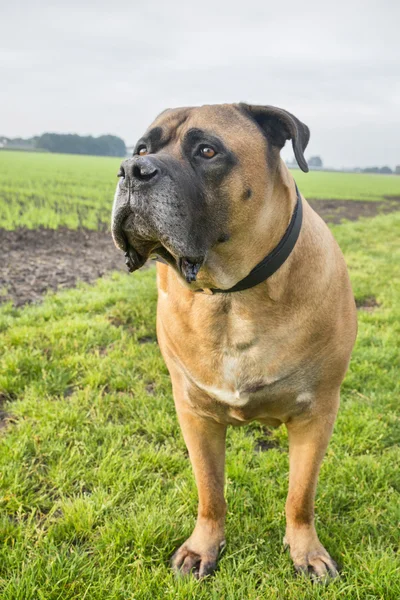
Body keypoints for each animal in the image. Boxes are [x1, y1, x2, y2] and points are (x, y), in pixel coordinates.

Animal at [111, 104, 358, 580]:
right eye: (143, 148)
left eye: (208, 151)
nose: (132, 169)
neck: (233, 297)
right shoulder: (194, 412)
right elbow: (210, 490)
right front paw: (203, 546)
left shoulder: (317, 413)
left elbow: (300, 495)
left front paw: (306, 551)